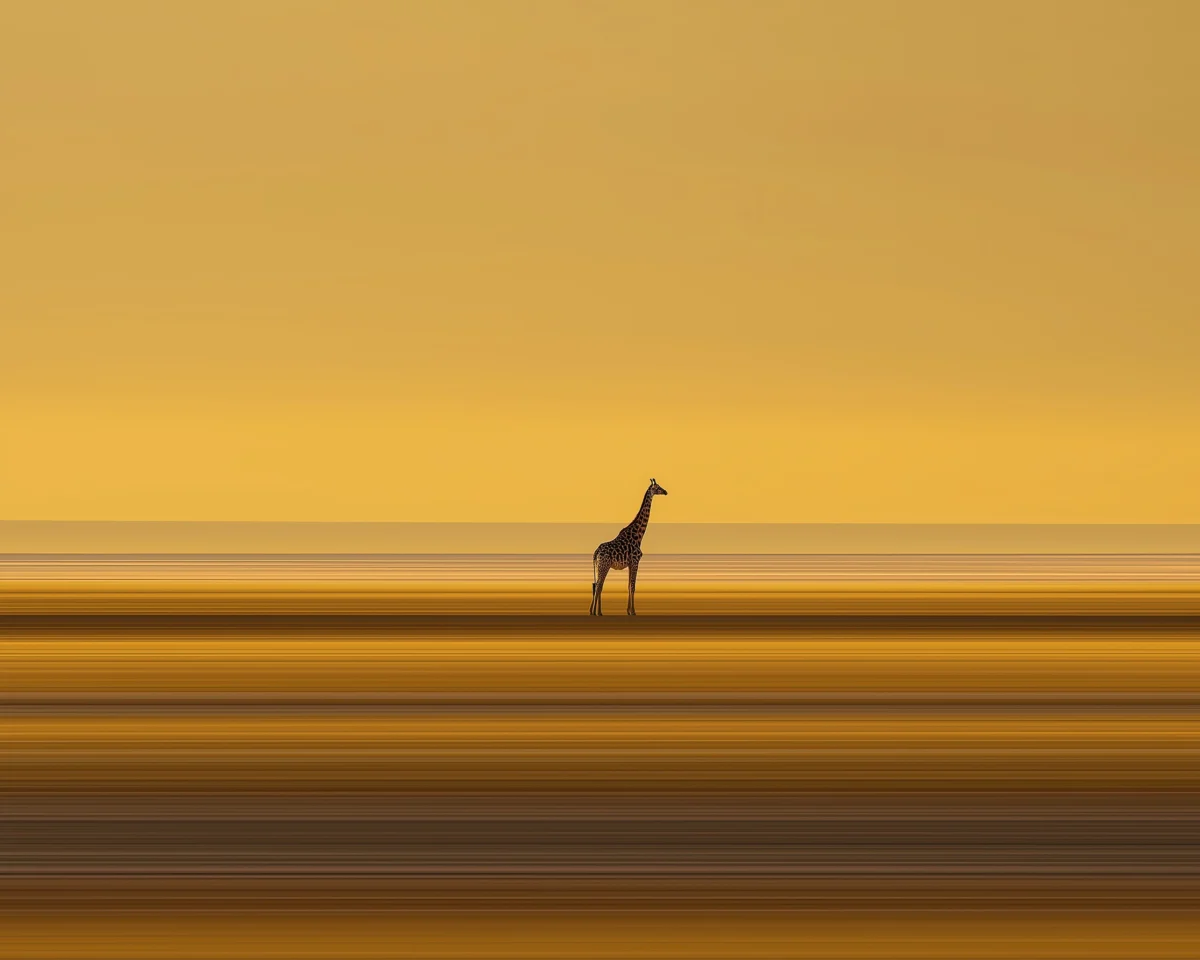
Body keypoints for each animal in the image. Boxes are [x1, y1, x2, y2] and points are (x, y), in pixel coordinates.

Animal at [590, 478, 669, 616]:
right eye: (657, 487)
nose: (665, 492)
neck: (639, 535)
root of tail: (596, 552)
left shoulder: (631, 564)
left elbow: (628, 586)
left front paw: (628, 611)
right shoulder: (635, 561)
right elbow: (633, 586)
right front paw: (633, 611)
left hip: (601, 566)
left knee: (597, 585)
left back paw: (597, 612)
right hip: (604, 565)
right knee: (598, 585)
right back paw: (595, 612)